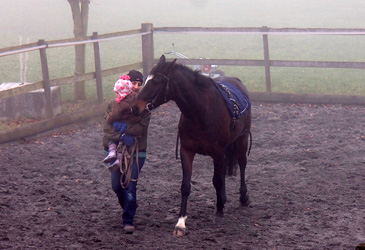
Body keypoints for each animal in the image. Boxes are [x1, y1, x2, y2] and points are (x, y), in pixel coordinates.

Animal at [131, 54, 250, 236]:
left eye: (157, 81)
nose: (135, 108)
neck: (200, 112)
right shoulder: (186, 151)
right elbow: (186, 186)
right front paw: (181, 222)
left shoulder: (217, 152)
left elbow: (217, 180)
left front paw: (219, 212)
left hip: (242, 139)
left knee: (242, 164)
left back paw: (243, 197)